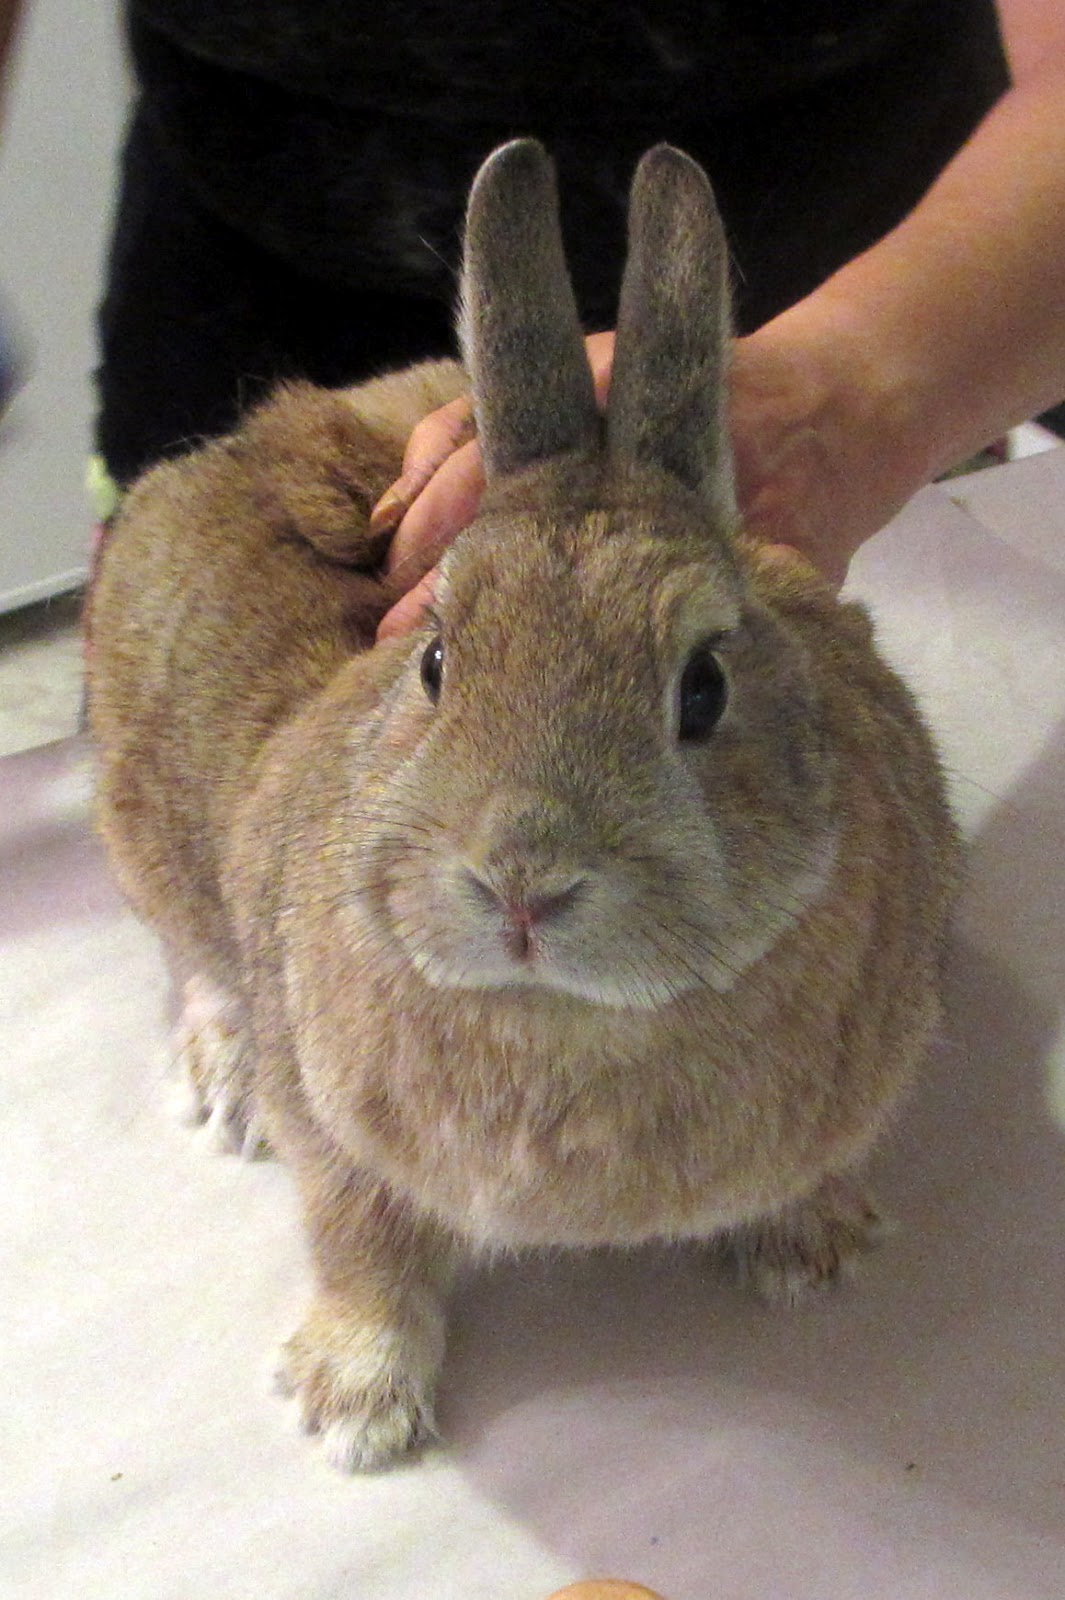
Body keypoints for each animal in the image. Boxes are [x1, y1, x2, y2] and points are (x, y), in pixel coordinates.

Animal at [87, 139, 960, 1471]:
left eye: (703, 688)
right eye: (437, 659)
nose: (521, 884)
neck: (571, 1023)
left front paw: (816, 1249)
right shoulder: (333, 1129)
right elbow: (359, 1241)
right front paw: (351, 1407)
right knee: (193, 957)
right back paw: (225, 1082)